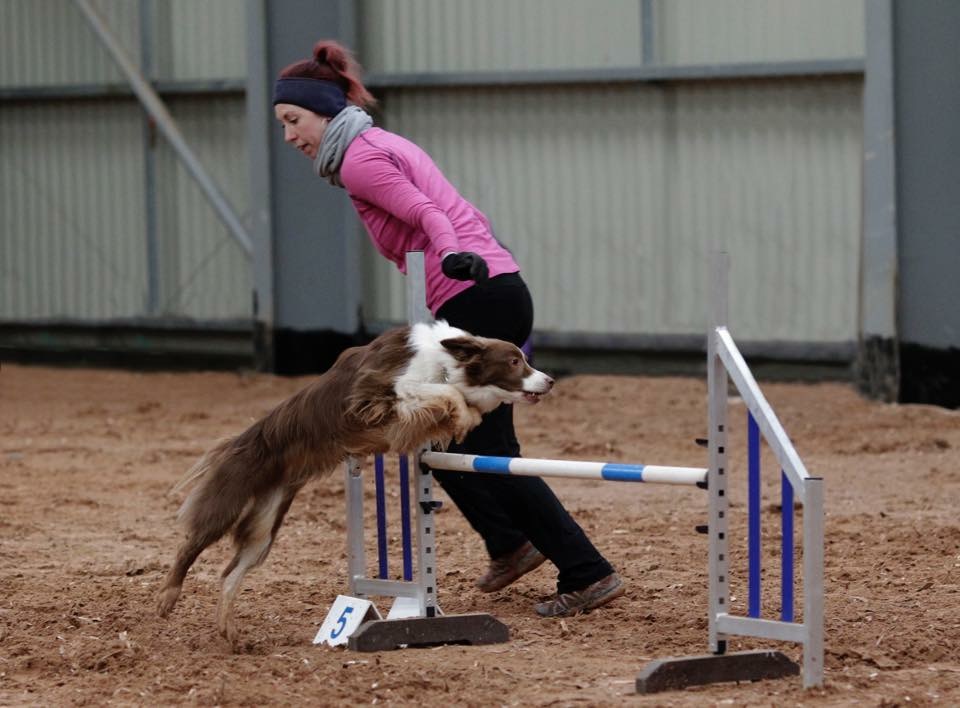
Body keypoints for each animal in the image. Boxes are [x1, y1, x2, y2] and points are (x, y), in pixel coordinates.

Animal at [154, 324, 552, 644]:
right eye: (514, 361)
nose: (549, 380)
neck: (446, 360)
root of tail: (234, 444)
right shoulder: (376, 393)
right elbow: (443, 393)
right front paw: (462, 411)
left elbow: (451, 403)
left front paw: (463, 417)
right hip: (229, 500)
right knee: (191, 545)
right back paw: (168, 597)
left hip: (264, 528)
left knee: (230, 574)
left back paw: (229, 631)